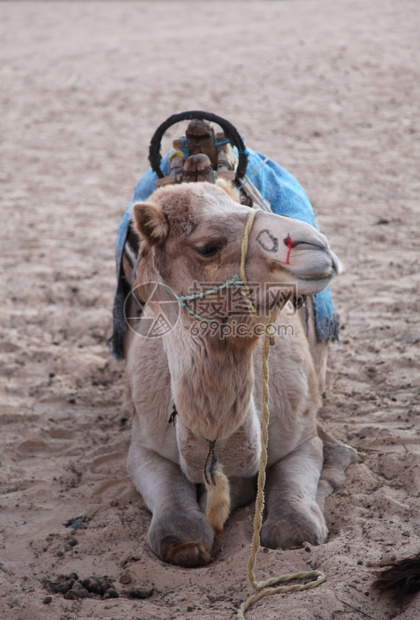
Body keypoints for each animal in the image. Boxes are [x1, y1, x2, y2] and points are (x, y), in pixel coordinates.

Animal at [122, 179, 358, 568]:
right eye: (208, 247)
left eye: (246, 207)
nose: (317, 245)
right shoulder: (144, 446)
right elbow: (177, 535)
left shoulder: (302, 438)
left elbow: (295, 528)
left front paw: (335, 467)